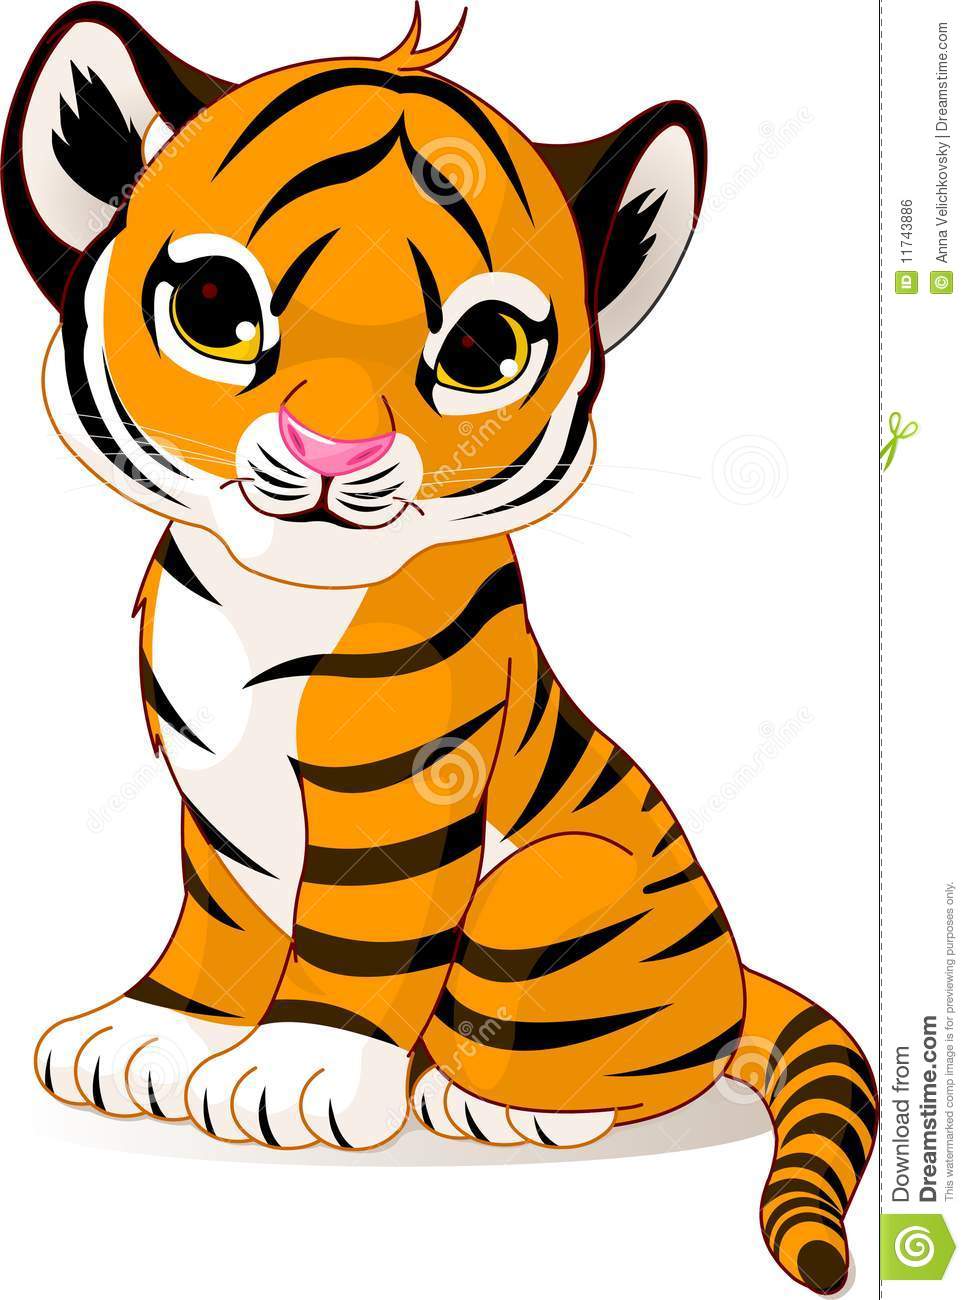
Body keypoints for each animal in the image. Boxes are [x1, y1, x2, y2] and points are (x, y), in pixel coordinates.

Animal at [3, 5, 876, 1293]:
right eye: (215, 308)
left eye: (484, 349)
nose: (334, 448)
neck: (267, 596)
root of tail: (733, 972)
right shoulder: (207, 789)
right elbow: (221, 914)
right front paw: (159, 1030)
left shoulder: (403, 788)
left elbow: (360, 943)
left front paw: (297, 1069)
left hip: (555, 886)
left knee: (626, 1060)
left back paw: (498, 1106)